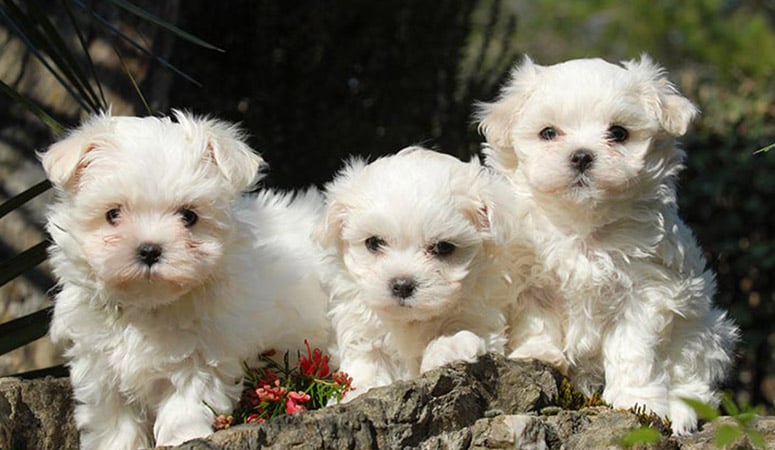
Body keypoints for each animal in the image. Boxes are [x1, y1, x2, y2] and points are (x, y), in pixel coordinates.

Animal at [43, 110, 328, 450]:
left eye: (189, 216)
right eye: (113, 214)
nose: (149, 249)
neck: (147, 306)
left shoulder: (204, 352)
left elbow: (188, 400)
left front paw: (182, 435)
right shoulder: (98, 360)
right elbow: (113, 417)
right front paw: (117, 444)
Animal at [318, 148, 520, 400]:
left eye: (443, 247)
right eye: (373, 242)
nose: (402, 285)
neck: (412, 322)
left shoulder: (481, 315)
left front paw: (450, 346)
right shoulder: (362, 330)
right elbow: (366, 363)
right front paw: (357, 390)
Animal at [478, 54, 740, 434]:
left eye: (618, 133)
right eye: (548, 133)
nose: (581, 155)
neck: (582, 228)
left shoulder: (644, 292)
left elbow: (633, 351)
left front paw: (638, 401)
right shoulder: (528, 274)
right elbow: (536, 316)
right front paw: (537, 353)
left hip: (704, 332)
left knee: (694, 379)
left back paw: (681, 412)